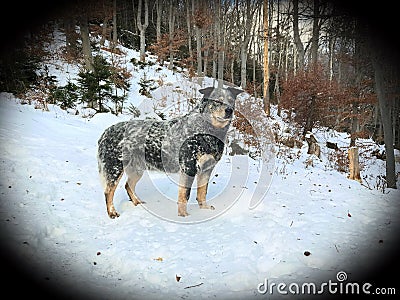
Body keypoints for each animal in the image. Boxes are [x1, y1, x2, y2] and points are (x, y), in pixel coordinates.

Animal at [96, 86, 244, 218]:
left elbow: (202, 193)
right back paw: (112, 213)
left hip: (136, 169)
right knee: (108, 191)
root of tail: (106, 132)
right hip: (115, 168)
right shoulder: (189, 168)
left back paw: (138, 202)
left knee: (128, 186)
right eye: (217, 101)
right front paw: (183, 215)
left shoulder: (207, 169)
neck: (208, 133)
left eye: (231, 100)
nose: (229, 110)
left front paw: (204, 210)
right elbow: (185, 195)